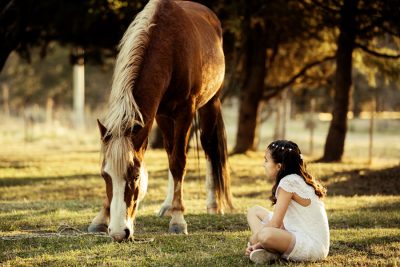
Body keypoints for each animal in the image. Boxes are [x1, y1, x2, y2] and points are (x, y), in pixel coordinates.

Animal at [87, 0, 231, 243]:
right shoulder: (160, 113)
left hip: (211, 102)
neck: (169, 46)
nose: (118, 233)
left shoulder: (185, 111)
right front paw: (101, 218)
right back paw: (166, 205)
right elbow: (171, 157)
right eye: (104, 175)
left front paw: (178, 220)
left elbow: (179, 161)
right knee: (171, 150)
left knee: (208, 146)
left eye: (135, 176)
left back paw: (213, 204)